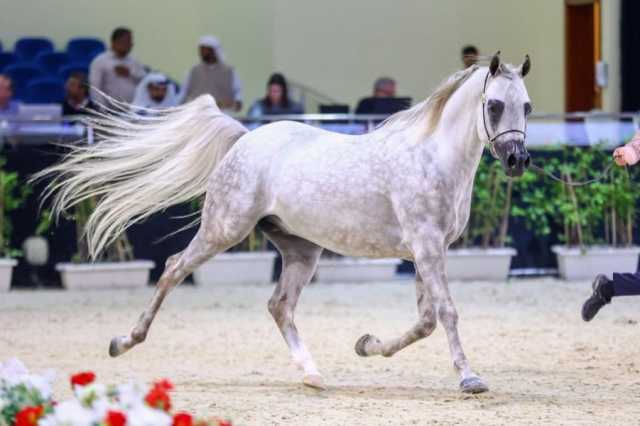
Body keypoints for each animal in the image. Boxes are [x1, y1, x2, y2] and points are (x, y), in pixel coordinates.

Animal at [40, 52, 532, 392]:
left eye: (526, 106)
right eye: (493, 105)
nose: (518, 160)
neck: (432, 156)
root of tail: (245, 137)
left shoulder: (428, 251)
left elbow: (426, 321)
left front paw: (366, 345)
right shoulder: (426, 247)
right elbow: (445, 314)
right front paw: (469, 378)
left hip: (301, 249)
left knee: (279, 305)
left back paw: (312, 374)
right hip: (225, 229)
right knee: (174, 269)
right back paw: (124, 341)